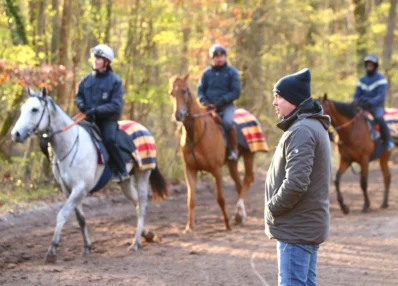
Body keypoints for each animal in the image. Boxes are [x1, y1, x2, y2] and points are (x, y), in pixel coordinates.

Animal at [169, 75, 260, 231]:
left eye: (184, 91)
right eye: (172, 93)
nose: (178, 115)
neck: (196, 135)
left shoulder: (217, 170)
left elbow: (220, 198)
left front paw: (227, 224)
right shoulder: (190, 169)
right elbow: (191, 199)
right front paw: (189, 227)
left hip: (249, 156)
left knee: (247, 180)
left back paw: (239, 213)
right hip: (232, 163)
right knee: (239, 184)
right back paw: (240, 216)